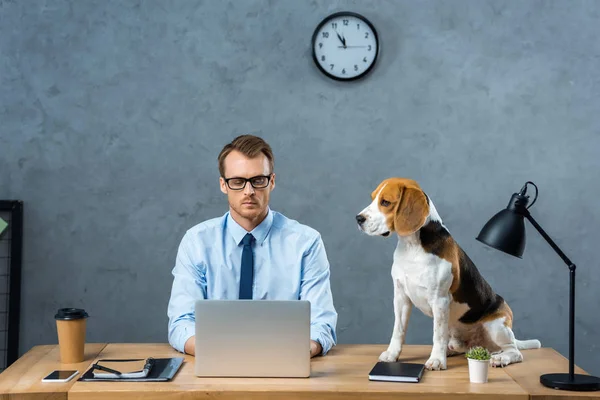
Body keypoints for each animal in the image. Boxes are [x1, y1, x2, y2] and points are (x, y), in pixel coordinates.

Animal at [354, 177, 540, 370]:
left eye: (385, 202)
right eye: (373, 198)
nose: (358, 218)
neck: (412, 246)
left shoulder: (440, 300)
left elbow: (437, 334)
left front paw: (436, 360)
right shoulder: (400, 297)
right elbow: (398, 330)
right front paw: (392, 354)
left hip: (496, 326)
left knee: (514, 352)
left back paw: (501, 358)